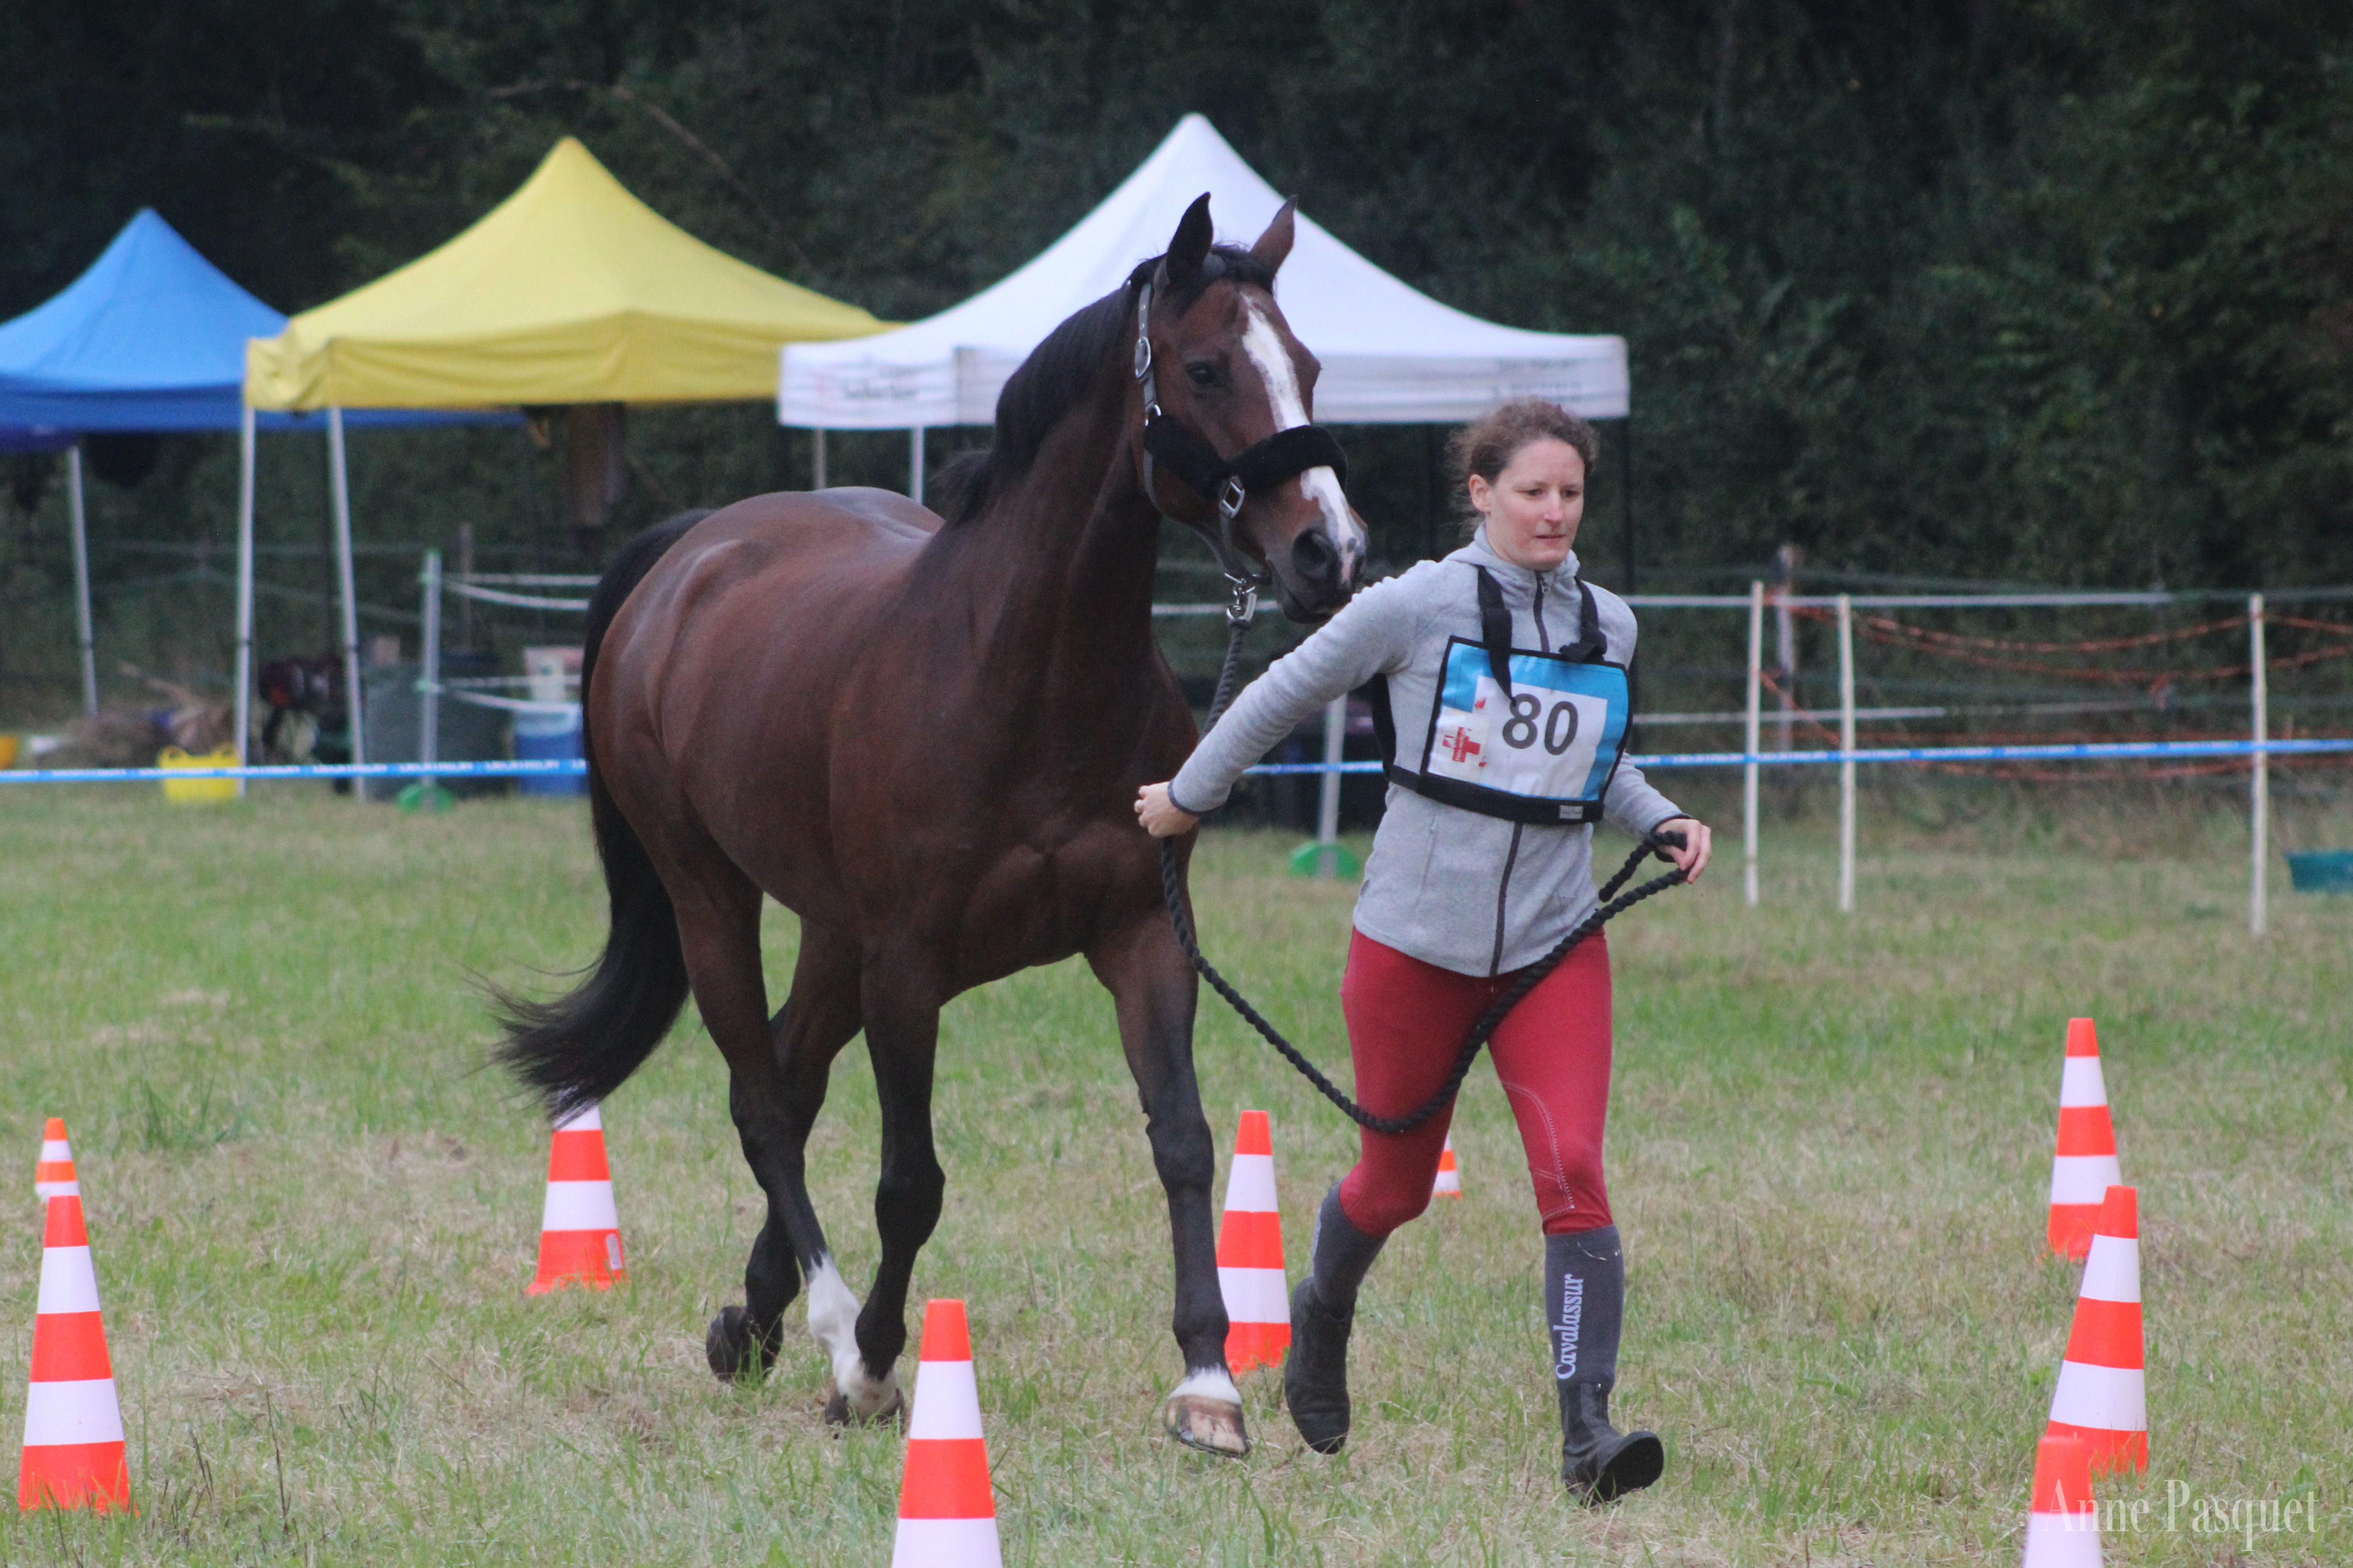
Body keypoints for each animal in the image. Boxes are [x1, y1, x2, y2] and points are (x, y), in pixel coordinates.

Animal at [506, 195, 1374, 1450]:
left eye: (1305, 366)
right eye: (1207, 368)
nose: (1330, 552)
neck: (1023, 674)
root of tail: (692, 551)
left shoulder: (1144, 939)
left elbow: (1183, 1141)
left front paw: (1208, 1383)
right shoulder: (909, 967)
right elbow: (909, 1182)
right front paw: (871, 1364)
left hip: (832, 931)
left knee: (789, 1072)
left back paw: (752, 1321)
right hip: (710, 892)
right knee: (762, 1099)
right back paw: (823, 1324)